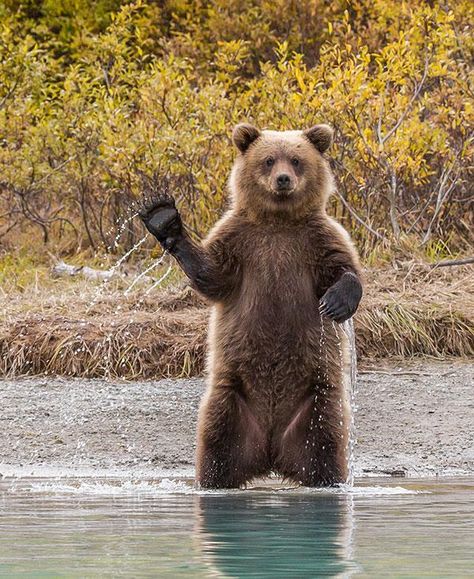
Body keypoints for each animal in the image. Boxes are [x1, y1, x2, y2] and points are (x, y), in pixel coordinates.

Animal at [139, 123, 362, 490]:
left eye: (296, 160)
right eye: (269, 160)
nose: (283, 179)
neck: (278, 220)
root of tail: (271, 453)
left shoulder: (316, 239)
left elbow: (344, 267)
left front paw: (336, 302)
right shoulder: (241, 240)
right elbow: (211, 274)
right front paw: (163, 217)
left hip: (316, 401)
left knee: (325, 445)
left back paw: (329, 481)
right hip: (231, 398)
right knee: (216, 444)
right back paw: (212, 481)